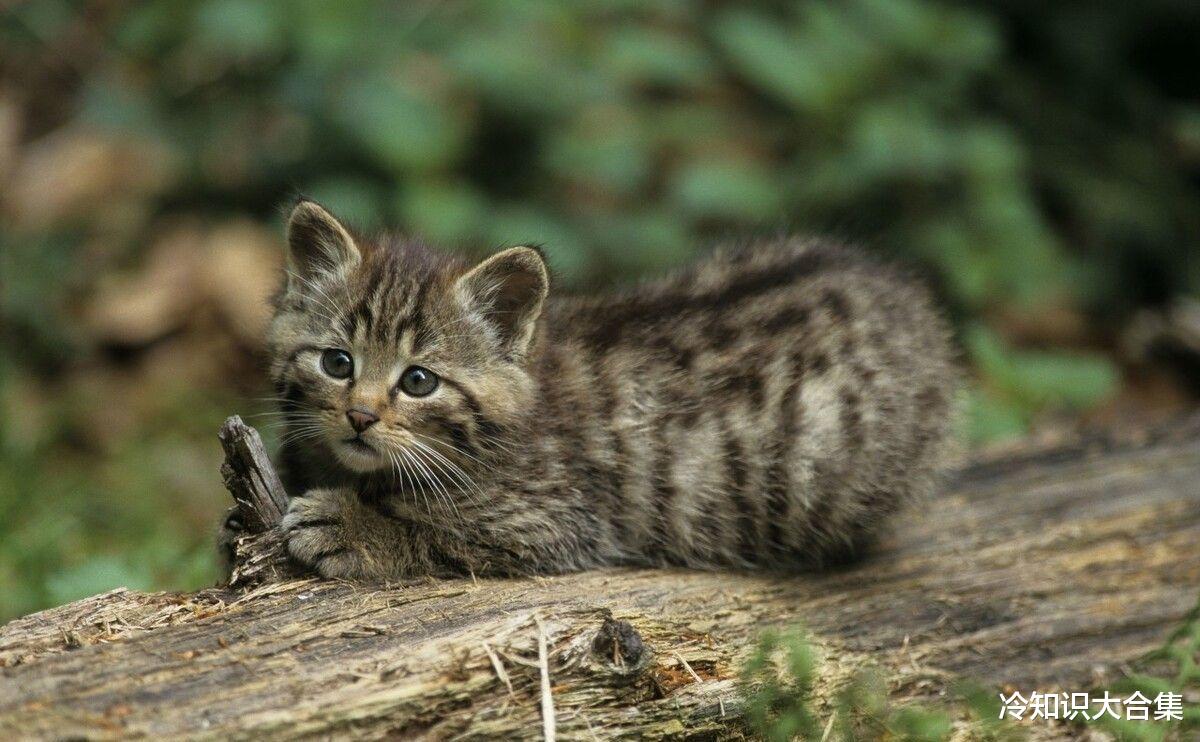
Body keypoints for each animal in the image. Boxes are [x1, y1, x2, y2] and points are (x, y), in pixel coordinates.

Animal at [250, 198, 955, 578]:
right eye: (338, 363)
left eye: (418, 381)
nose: (360, 417)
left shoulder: (555, 520)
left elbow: (440, 532)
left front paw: (351, 525)